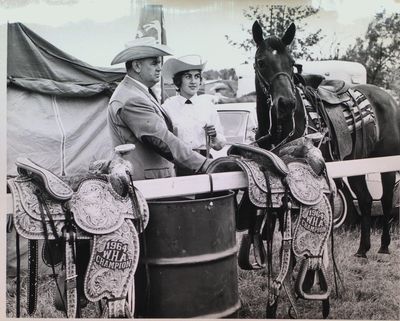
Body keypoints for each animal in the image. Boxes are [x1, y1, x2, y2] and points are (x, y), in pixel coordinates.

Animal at [252, 20, 400, 256]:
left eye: (291, 63)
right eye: (261, 62)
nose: (286, 103)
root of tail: (389, 98)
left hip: (385, 163)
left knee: (385, 200)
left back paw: (384, 245)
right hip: (356, 166)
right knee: (366, 200)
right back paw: (363, 249)